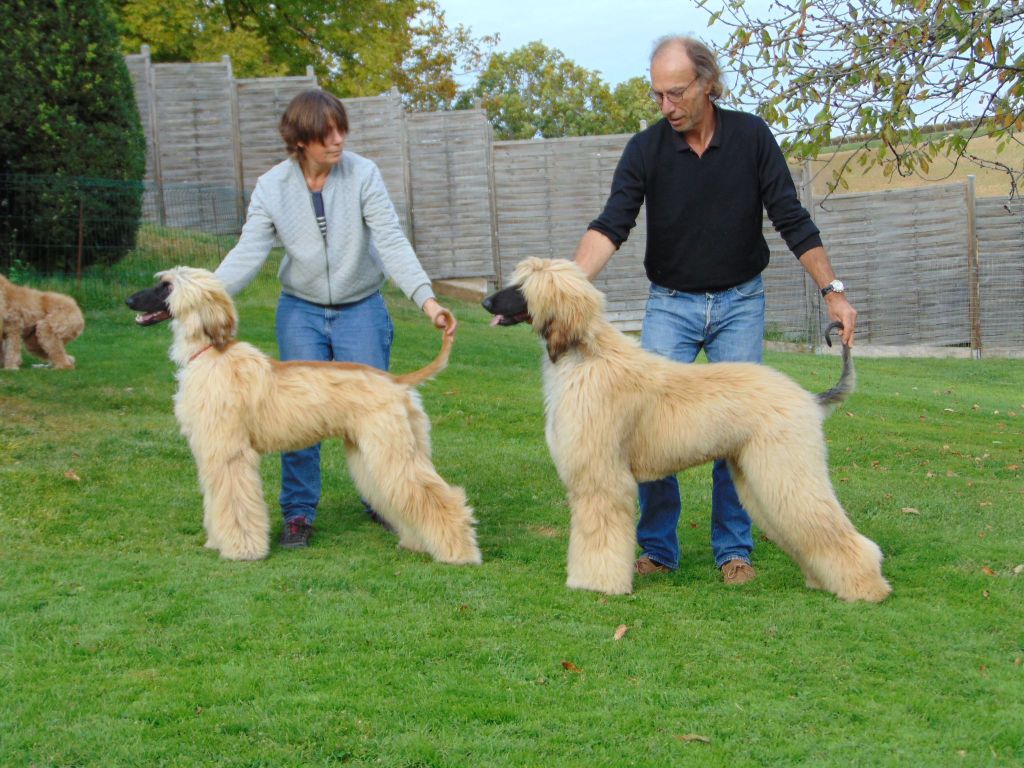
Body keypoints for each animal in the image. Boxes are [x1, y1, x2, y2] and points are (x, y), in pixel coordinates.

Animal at [126, 268, 479, 565]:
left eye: (166, 286)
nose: (128, 300)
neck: (210, 353)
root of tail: (395, 381)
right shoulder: (212, 450)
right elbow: (216, 499)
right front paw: (217, 541)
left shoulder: (229, 450)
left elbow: (235, 501)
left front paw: (242, 549)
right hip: (386, 446)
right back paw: (418, 542)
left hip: (389, 448)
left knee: (439, 497)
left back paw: (461, 553)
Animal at [479, 259, 888, 602]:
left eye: (520, 287)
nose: (484, 302)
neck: (588, 355)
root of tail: (808, 398)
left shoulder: (601, 477)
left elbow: (599, 535)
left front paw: (597, 583)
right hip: (758, 473)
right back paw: (822, 580)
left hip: (785, 466)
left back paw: (868, 588)